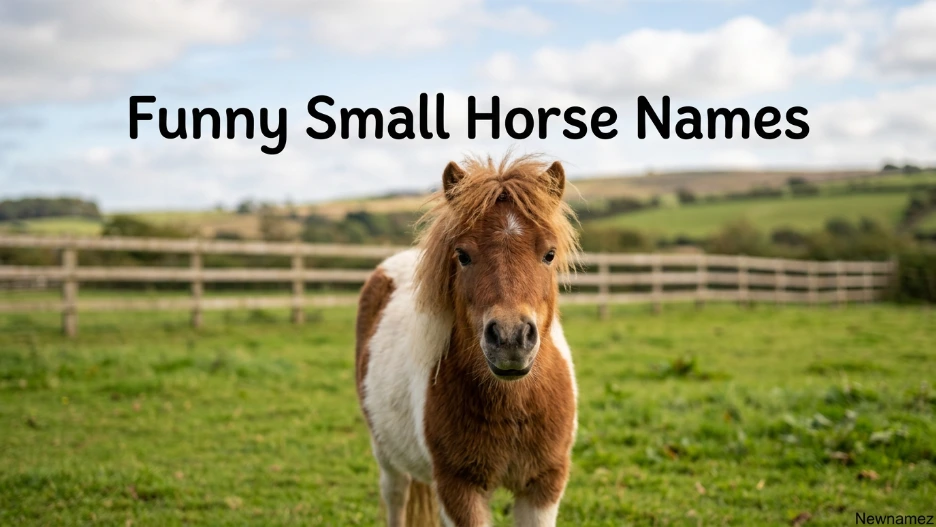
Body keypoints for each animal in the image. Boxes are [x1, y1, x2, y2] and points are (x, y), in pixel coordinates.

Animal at [355, 154, 579, 526]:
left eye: (549, 253)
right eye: (462, 255)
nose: (510, 338)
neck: (513, 405)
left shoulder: (544, 485)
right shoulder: (458, 488)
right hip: (386, 453)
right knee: (395, 497)